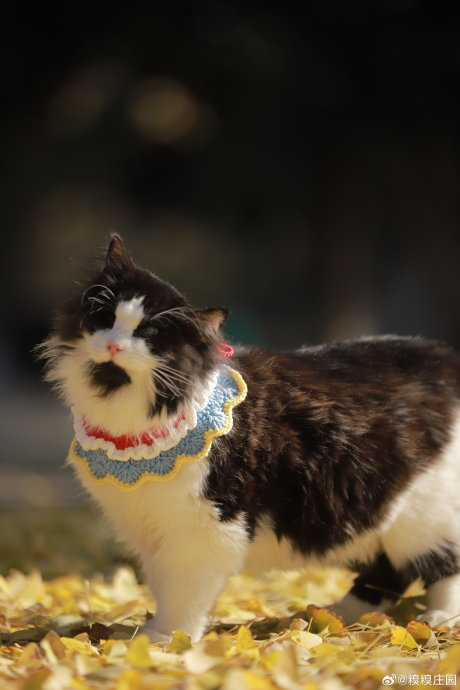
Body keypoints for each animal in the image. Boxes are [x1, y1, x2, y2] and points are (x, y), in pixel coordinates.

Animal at [39, 234, 460, 642]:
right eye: (105, 317)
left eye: (150, 332)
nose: (113, 344)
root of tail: (444, 356)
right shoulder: (151, 527)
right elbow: (162, 585)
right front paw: (157, 633)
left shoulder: (204, 528)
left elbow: (182, 592)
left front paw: (169, 641)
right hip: (378, 514)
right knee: (389, 573)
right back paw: (333, 617)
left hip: (423, 517)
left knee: (441, 566)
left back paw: (438, 620)